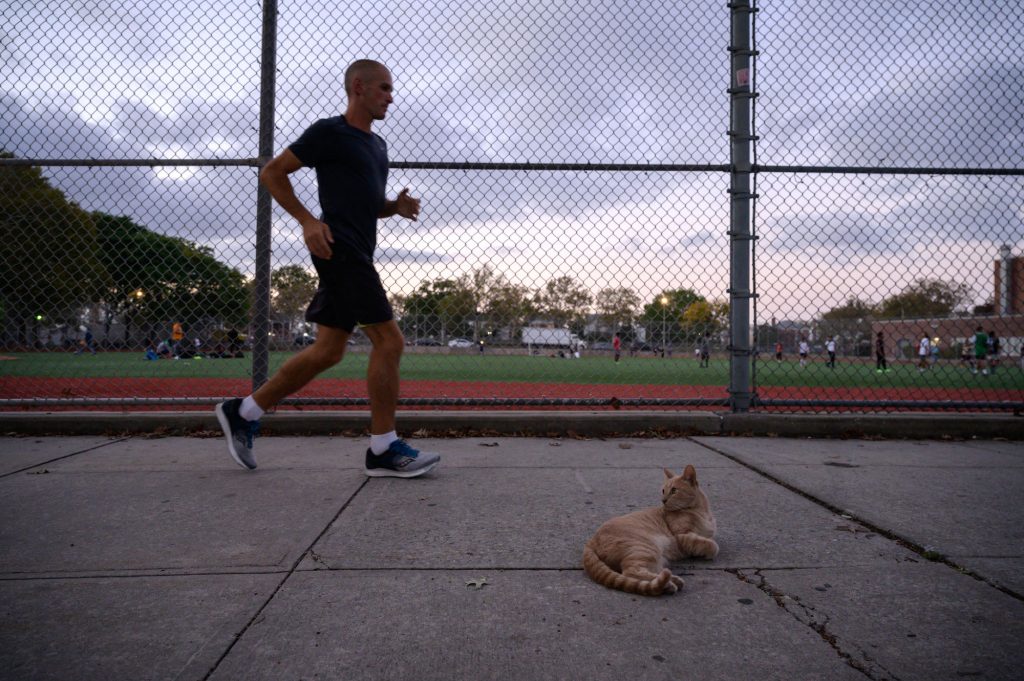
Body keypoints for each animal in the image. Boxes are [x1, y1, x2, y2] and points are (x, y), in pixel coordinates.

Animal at [585, 462, 720, 593]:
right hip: (645, 548)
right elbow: (711, 545)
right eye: (663, 491)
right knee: (631, 572)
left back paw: (672, 581)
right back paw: (668, 584)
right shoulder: (682, 536)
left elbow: (707, 540)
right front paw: (708, 552)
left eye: (674, 490)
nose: (663, 500)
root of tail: (590, 541)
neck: (701, 511)